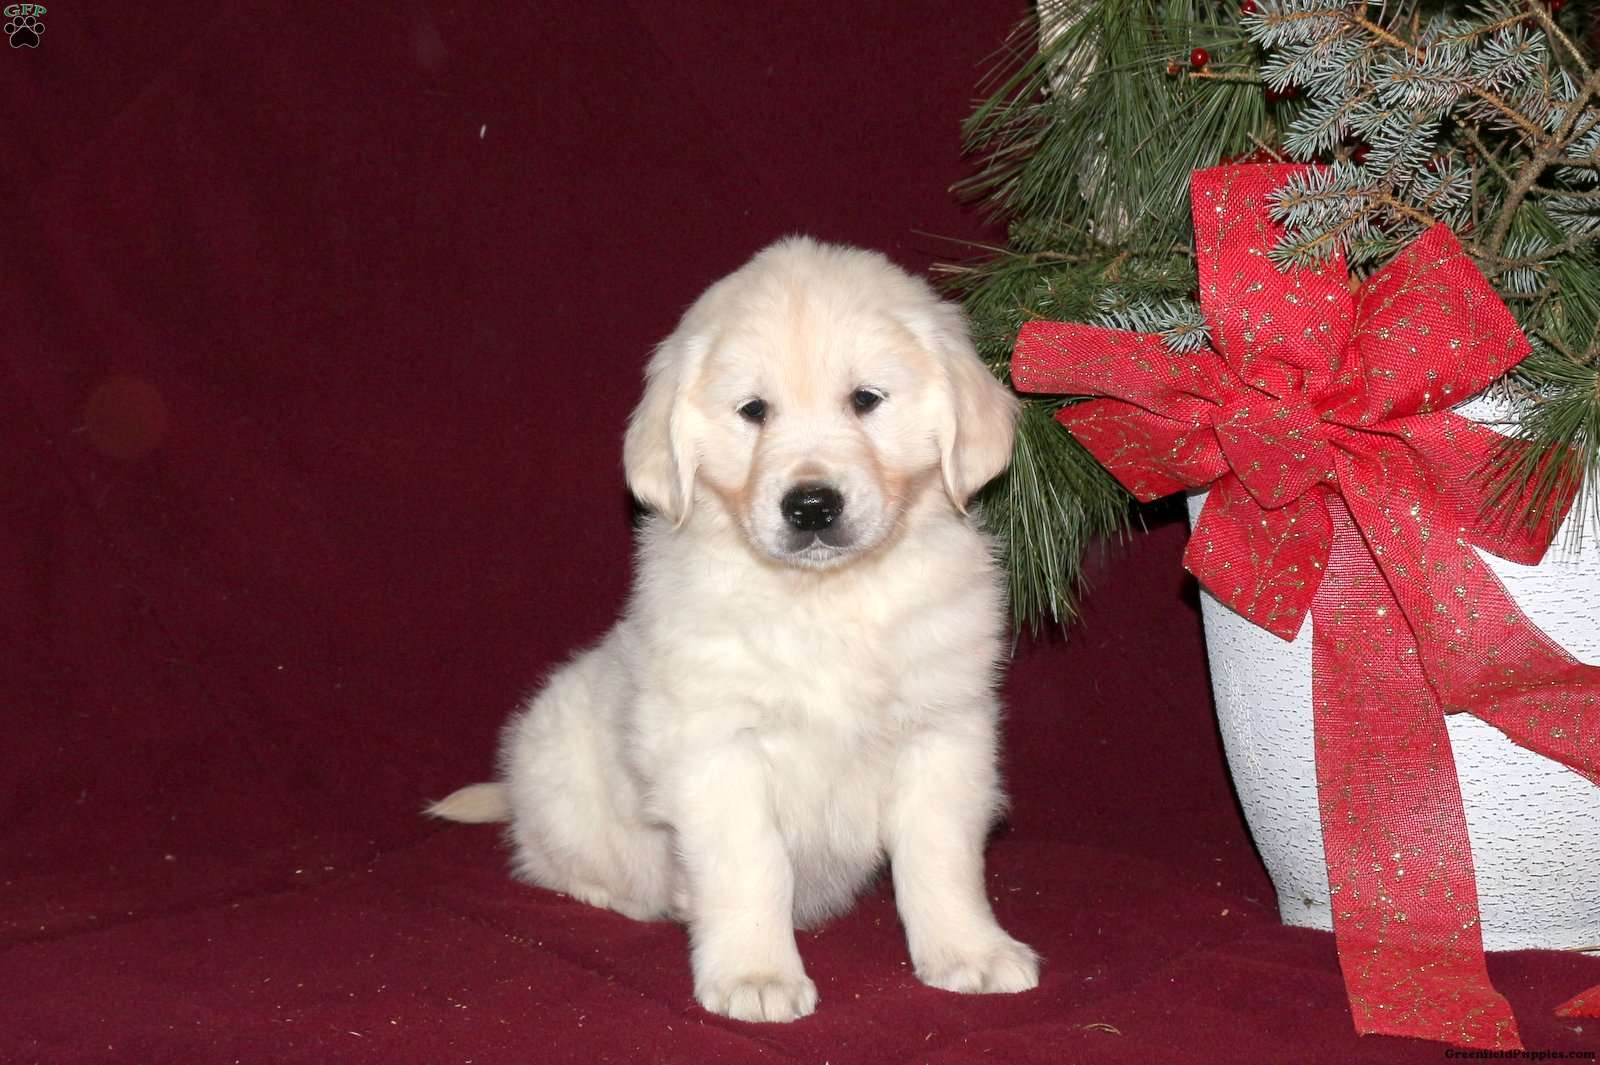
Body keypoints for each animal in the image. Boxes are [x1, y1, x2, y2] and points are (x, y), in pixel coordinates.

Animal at [429, 236, 1036, 1022]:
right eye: (753, 410)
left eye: (866, 399)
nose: (812, 505)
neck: (824, 598)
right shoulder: (716, 746)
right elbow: (753, 864)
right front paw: (756, 974)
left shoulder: (945, 730)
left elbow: (943, 856)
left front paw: (970, 951)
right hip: (555, 769)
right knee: (550, 859)